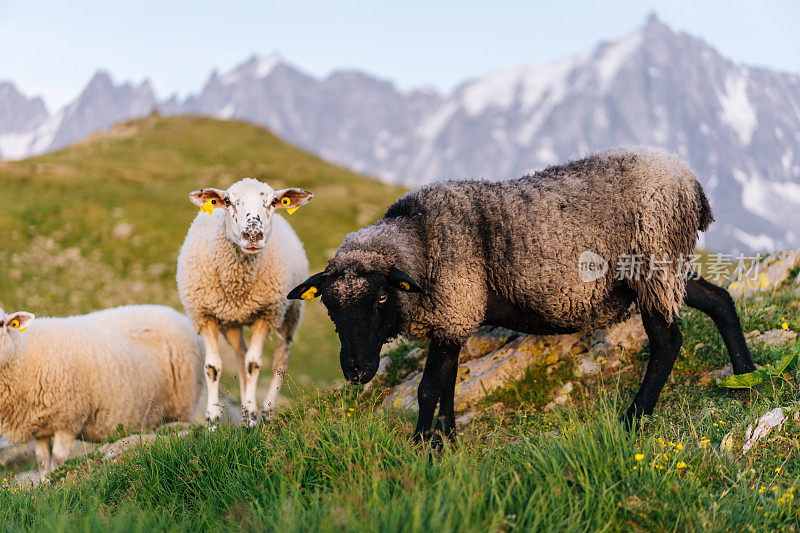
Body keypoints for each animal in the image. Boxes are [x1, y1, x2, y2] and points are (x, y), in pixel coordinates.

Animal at [0, 304, 205, 478]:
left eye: (2, 323)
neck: (21, 352)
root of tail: (179, 315)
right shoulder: (41, 426)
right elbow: (42, 462)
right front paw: (45, 484)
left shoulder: (69, 419)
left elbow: (58, 459)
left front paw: (57, 480)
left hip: (183, 402)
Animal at [178, 177, 312, 426]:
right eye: (228, 201)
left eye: (273, 202)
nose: (252, 235)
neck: (237, 285)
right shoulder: (205, 315)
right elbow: (213, 367)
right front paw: (212, 421)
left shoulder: (266, 314)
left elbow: (254, 364)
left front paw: (251, 416)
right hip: (232, 324)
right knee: (240, 357)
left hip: (290, 312)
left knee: (280, 359)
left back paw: (267, 410)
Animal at [292, 145, 756, 440]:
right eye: (330, 307)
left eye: (381, 299)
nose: (355, 371)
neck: (419, 240)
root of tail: (689, 179)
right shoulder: (455, 318)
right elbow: (446, 387)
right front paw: (446, 439)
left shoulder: (454, 309)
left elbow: (427, 390)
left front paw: (423, 445)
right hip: (664, 270)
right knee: (719, 300)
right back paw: (746, 378)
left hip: (651, 262)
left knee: (667, 341)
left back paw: (634, 418)